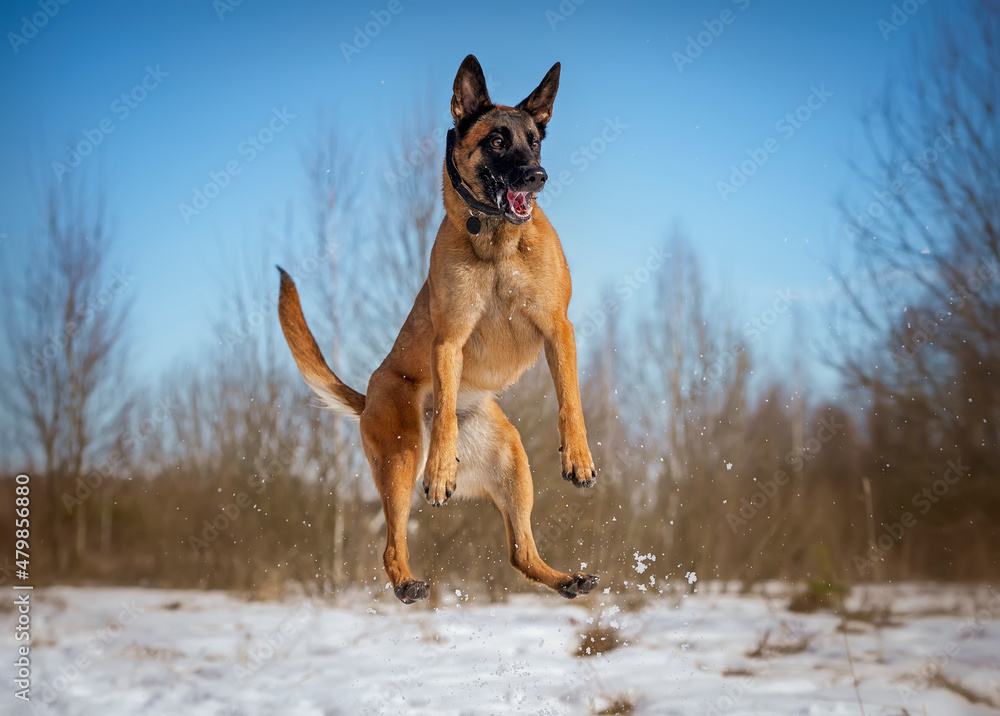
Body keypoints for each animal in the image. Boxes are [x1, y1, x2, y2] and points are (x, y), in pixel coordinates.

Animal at [278, 56, 596, 604]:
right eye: (497, 140)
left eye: (534, 139)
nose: (536, 176)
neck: (496, 240)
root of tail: (366, 396)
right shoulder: (449, 341)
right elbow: (445, 408)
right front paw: (443, 468)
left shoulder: (559, 329)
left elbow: (569, 398)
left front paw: (577, 455)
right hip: (402, 457)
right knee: (391, 543)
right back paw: (408, 579)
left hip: (512, 463)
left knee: (521, 554)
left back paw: (568, 578)